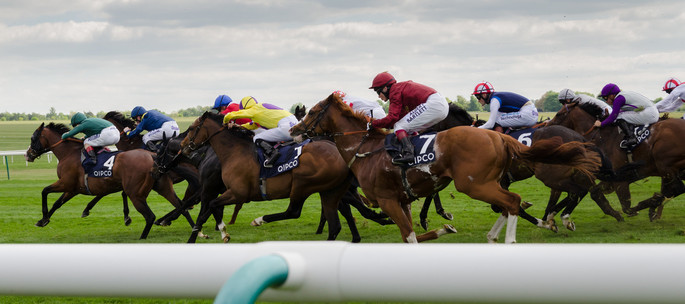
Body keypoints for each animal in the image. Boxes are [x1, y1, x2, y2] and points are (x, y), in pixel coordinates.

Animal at [24, 122, 187, 239]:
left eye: (32, 138)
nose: (28, 154)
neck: (69, 153)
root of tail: (153, 156)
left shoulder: (66, 183)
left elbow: (44, 191)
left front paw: (43, 217)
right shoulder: (74, 188)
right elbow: (58, 203)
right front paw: (43, 220)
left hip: (136, 191)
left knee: (151, 214)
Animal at [288, 94, 600, 243]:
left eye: (312, 112)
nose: (293, 131)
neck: (365, 149)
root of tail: (498, 136)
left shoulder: (388, 200)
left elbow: (409, 235)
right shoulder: (402, 199)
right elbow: (414, 230)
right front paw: (442, 226)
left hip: (474, 183)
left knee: (516, 201)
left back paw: (531, 229)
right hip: (485, 182)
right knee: (512, 202)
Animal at [548, 102, 685, 221]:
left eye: (559, 114)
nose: (547, 126)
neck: (603, 138)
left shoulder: (620, 180)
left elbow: (627, 207)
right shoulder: (612, 178)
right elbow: (595, 193)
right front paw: (616, 215)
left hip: (665, 165)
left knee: (677, 188)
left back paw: (651, 205)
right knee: (674, 189)